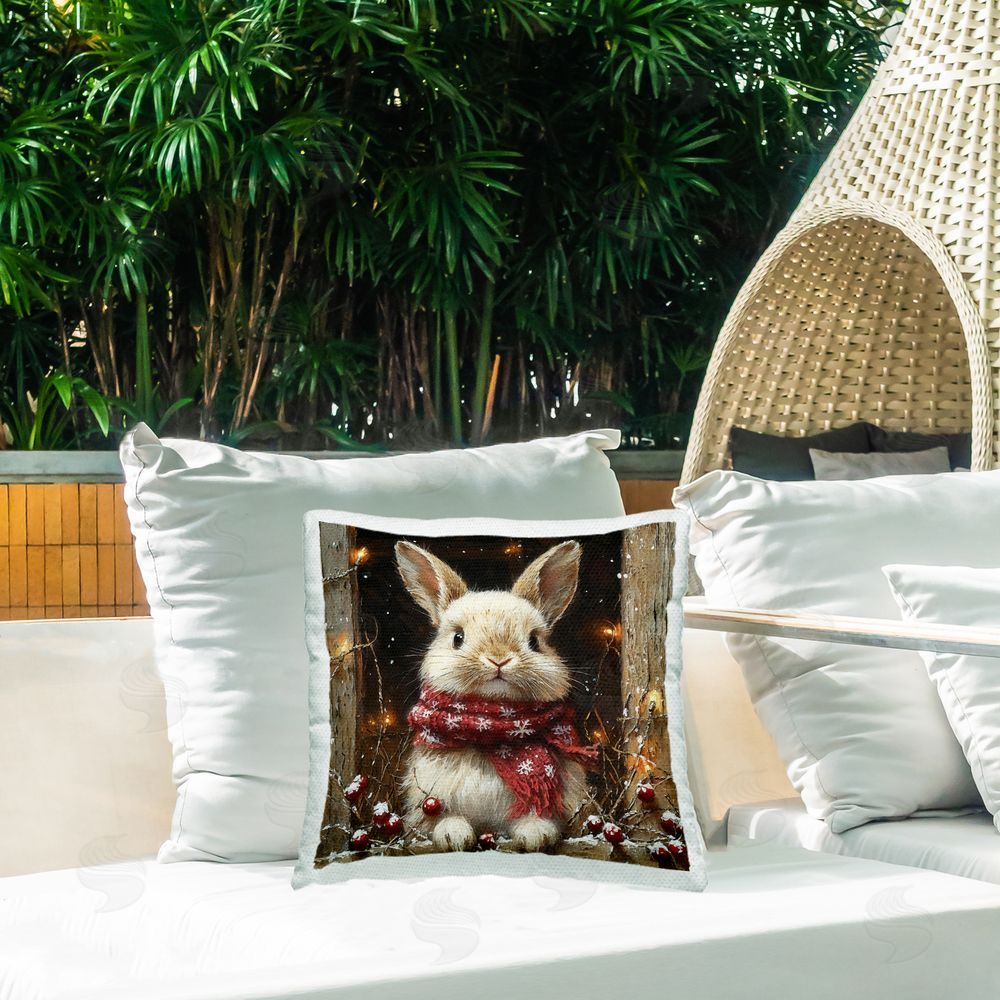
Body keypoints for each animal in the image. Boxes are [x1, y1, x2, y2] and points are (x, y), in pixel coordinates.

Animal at [395, 539, 594, 853]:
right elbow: (444, 818)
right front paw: (453, 835)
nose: (498, 659)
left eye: (534, 641)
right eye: (458, 638)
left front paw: (536, 834)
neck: (491, 729)